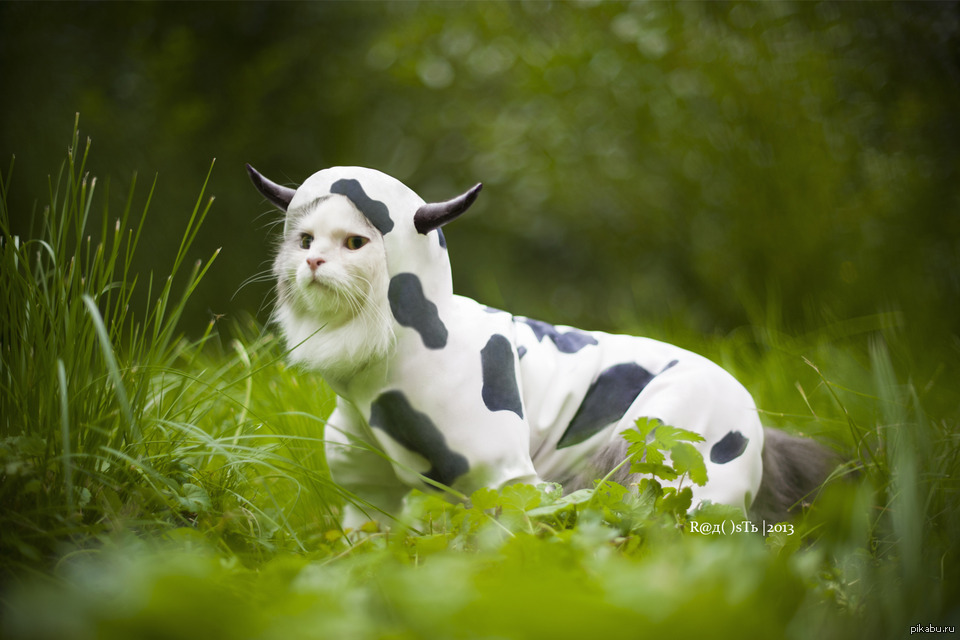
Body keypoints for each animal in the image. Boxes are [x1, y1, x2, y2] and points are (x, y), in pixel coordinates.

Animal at [251, 162, 836, 528]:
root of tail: (758, 418)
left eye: (355, 243)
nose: (313, 261)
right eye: (305, 240)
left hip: (667, 463)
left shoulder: (499, 472)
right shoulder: (369, 498)